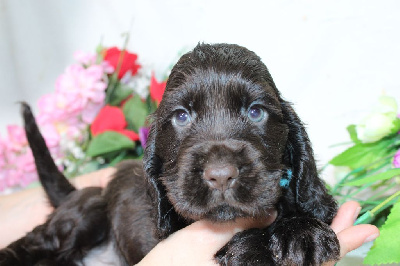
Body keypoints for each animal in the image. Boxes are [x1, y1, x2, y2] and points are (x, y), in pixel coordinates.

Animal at [0, 42, 340, 264]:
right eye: (181, 116)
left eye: (256, 112)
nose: (220, 176)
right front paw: (252, 248)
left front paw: (301, 231)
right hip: (87, 211)